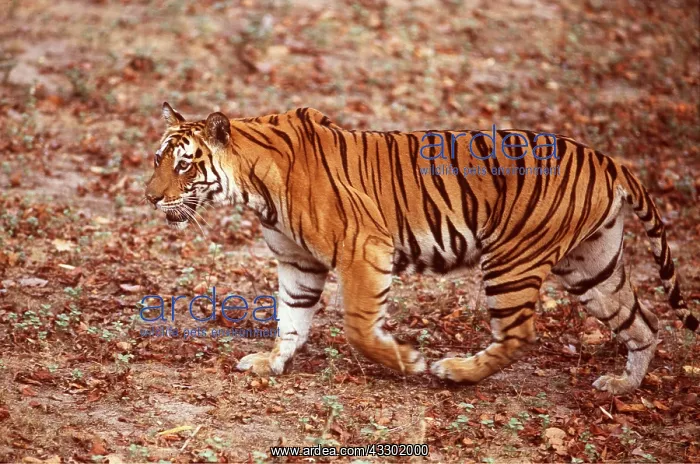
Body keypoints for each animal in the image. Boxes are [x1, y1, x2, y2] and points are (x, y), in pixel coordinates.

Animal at [145, 102, 698, 395]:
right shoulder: (298, 262)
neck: (254, 186)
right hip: (592, 267)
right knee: (644, 323)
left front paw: (407, 362)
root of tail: (609, 160)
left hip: (513, 261)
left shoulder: (363, 248)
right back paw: (623, 385)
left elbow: (360, 327)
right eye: (157, 159)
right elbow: (291, 320)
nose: (149, 196)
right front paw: (272, 363)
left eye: (184, 164)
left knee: (521, 333)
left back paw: (455, 371)